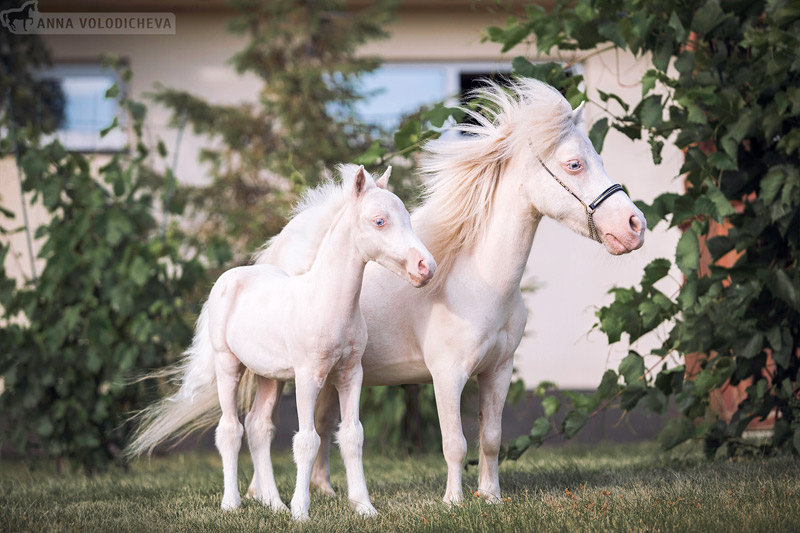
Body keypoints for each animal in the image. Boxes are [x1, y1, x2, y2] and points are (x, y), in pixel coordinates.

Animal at [127, 166, 434, 520]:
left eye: (407, 218)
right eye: (379, 221)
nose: (426, 267)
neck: (325, 302)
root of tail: (231, 277)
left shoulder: (349, 374)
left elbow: (352, 435)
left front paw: (364, 507)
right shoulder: (307, 376)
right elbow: (307, 440)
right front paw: (301, 511)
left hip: (269, 377)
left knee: (258, 427)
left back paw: (272, 503)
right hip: (227, 364)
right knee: (230, 429)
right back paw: (232, 503)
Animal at [253, 78, 648, 502]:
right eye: (574, 164)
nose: (635, 225)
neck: (480, 284)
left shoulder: (498, 372)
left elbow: (490, 438)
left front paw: (490, 496)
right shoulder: (447, 375)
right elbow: (455, 443)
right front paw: (454, 501)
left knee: (322, 424)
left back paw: (323, 490)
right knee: (262, 425)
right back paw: (263, 495)